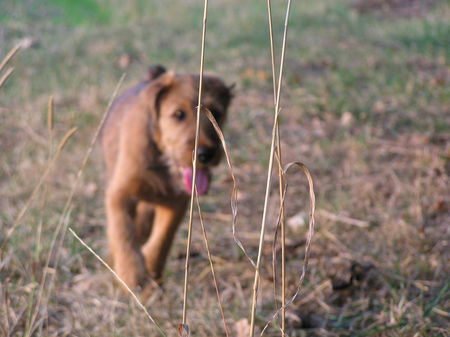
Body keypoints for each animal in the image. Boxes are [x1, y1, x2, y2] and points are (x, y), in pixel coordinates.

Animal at [101, 65, 232, 288]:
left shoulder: (177, 201)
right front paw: (132, 275)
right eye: (179, 114)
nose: (205, 154)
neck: (162, 161)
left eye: (215, 112)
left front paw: (151, 268)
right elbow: (123, 232)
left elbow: (163, 238)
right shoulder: (120, 193)